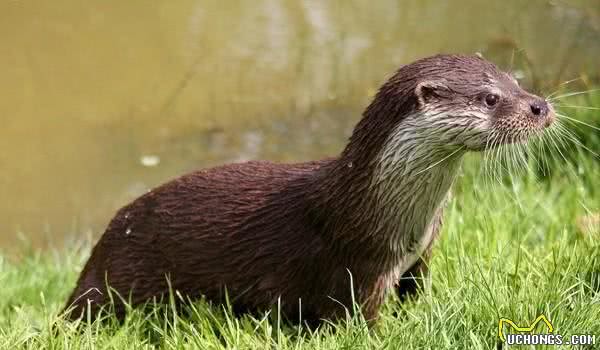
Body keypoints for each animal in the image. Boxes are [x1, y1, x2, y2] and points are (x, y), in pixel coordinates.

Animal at [63, 54, 556, 326]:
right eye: (490, 98)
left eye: (515, 80)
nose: (541, 106)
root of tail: (98, 252)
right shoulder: (359, 269)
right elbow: (360, 321)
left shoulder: (420, 258)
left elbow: (418, 293)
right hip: (119, 280)